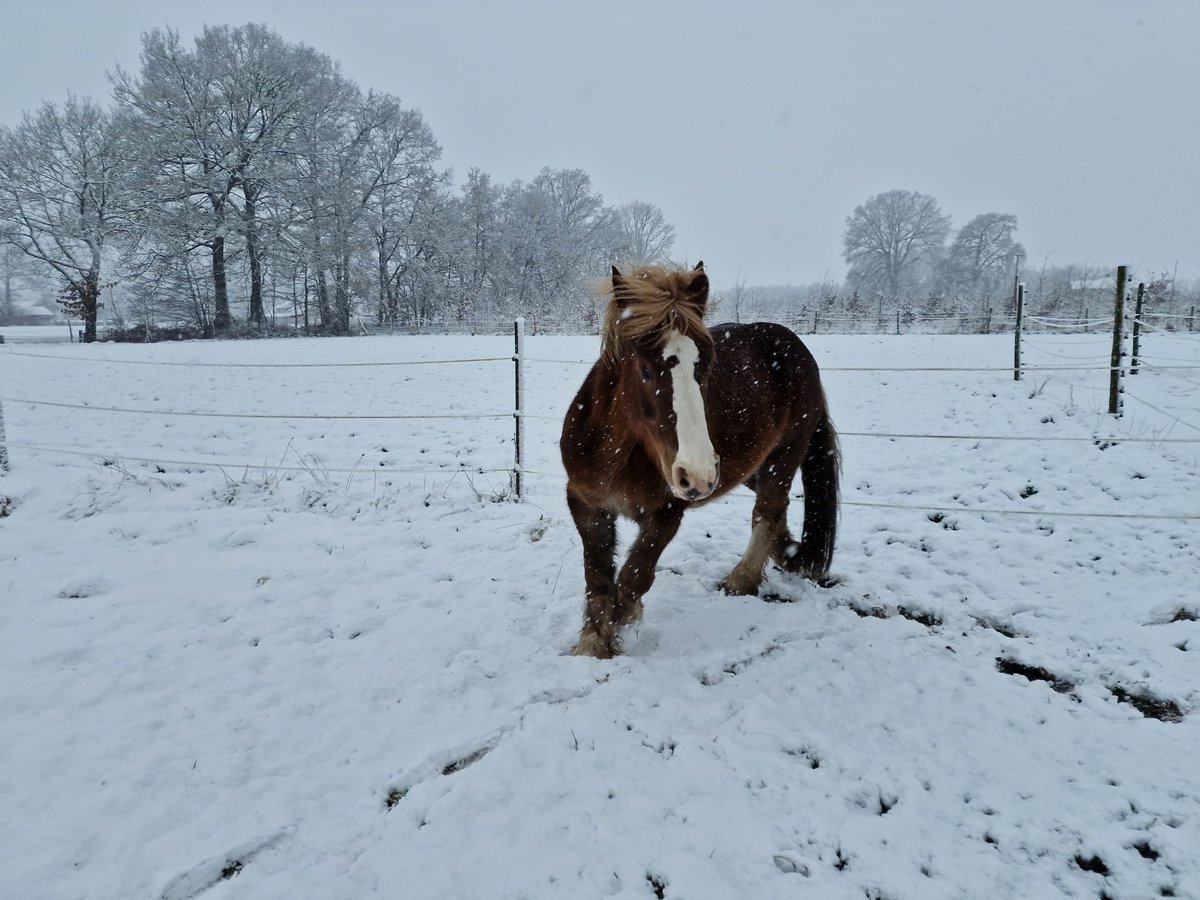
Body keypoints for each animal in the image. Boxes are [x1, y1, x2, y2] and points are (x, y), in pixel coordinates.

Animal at [556, 264, 840, 657]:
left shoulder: (667, 511)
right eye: (645, 370)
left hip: (783, 456)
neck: (617, 454)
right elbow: (598, 578)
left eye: (707, 366)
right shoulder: (586, 505)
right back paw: (783, 553)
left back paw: (740, 580)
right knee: (775, 510)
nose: (698, 473)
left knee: (767, 511)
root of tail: (799, 349)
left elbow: (634, 575)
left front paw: (625, 616)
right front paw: (592, 645)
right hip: (751, 467)